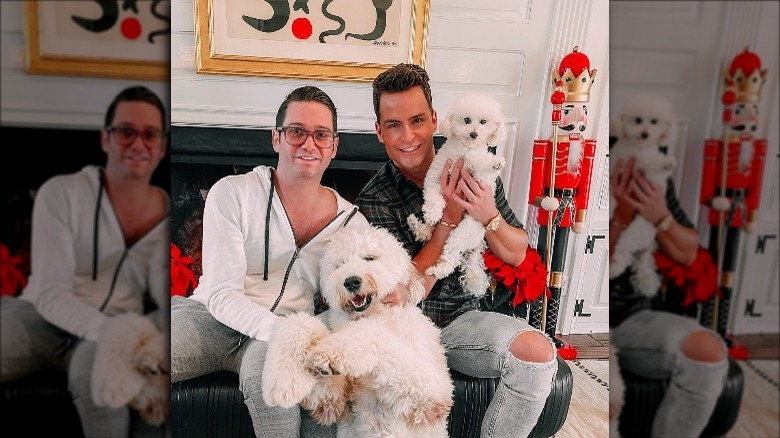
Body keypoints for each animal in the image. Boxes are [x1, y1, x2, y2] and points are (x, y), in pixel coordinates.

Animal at [264, 224, 454, 436]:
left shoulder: (433, 397)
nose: (351, 282)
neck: (374, 314)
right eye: (340, 264)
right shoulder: (331, 405)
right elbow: (299, 322)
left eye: (369, 258)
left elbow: (372, 334)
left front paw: (327, 353)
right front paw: (283, 382)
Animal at [406, 93, 508, 296]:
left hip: (462, 233)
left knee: (451, 258)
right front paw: (432, 212)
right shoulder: (436, 174)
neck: (465, 149)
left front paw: (495, 163)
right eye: (466, 120)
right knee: (429, 233)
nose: (474, 134)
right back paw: (417, 224)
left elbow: (483, 165)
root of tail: (478, 244)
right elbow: (433, 195)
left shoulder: (480, 179)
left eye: (483, 122)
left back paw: (437, 269)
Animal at [608, 93, 676, 296]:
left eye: (654, 122)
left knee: (624, 250)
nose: (645, 134)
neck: (637, 148)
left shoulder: (648, 171)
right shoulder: (616, 169)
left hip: (636, 231)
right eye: (638, 120)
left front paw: (666, 163)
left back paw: (614, 268)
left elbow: (652, 161)